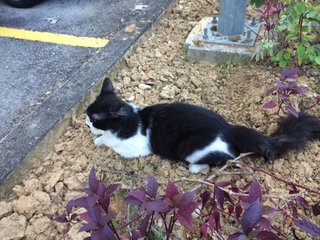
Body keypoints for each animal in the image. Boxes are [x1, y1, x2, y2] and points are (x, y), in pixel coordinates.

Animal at [86, 79, 320, 174]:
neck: (133, 120)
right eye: (87, 113)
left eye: (94, 117)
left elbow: (111, 143)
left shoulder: (133, 147)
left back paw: (196, 167)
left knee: (228, 158)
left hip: (191, 147)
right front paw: (98, 138)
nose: (86, 122)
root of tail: (229, 128)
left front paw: (99, 139)